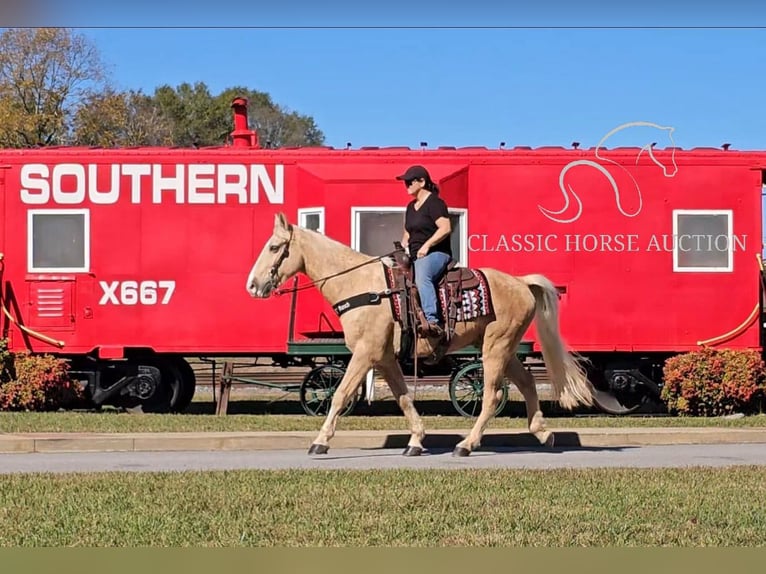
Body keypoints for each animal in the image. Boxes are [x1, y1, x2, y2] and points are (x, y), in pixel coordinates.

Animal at [246, 213, 592, 460]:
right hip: (500, 347)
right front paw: (415, 440)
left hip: (496, 347)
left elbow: (341, 394)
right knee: (527, 382)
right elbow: (403, 396)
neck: (363, 287)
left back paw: (467, 444)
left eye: (274, 247)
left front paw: (320, 441)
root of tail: (521, 282)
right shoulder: (384, 357)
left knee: (492, 396)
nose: (252, 285)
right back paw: (543, 433)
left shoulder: (365, 352)